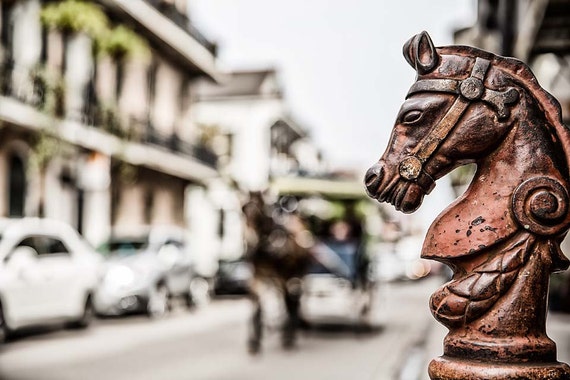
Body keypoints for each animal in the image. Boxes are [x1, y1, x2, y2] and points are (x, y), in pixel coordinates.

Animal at [239, 191, 312, 354]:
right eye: (243, 209)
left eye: (259, 212)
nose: (250, 240)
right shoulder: (257, 276)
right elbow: (257, 305)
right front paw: (254, 341)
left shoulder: (284, 276)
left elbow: (288, 301)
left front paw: (287, 336)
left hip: (296, 273)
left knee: (292, 299)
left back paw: (290, 333)